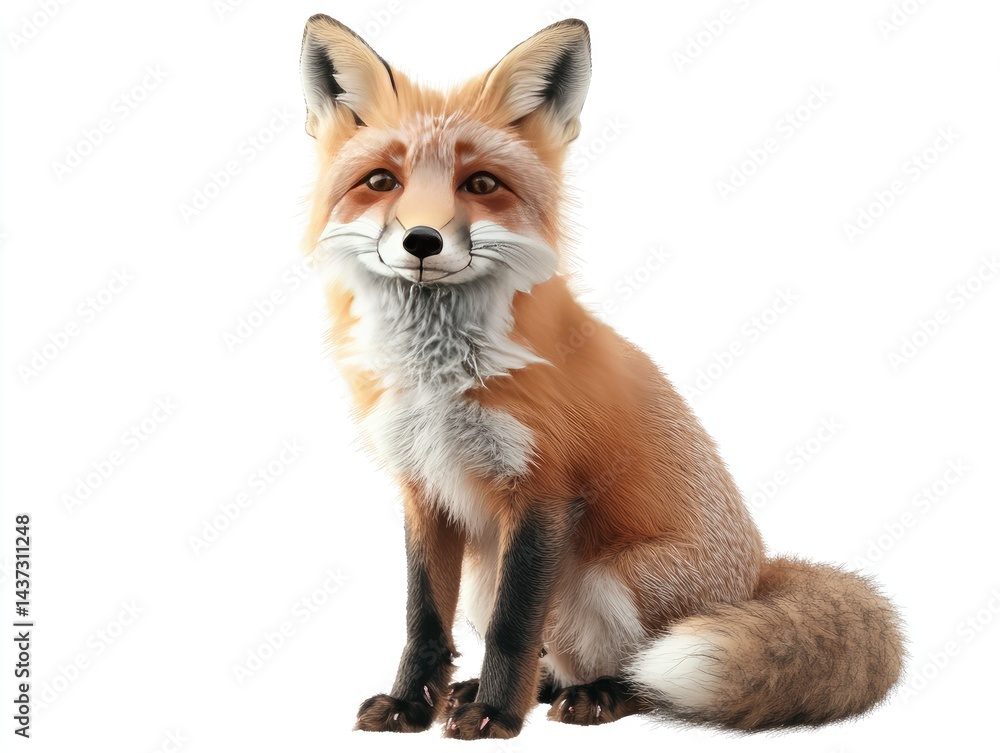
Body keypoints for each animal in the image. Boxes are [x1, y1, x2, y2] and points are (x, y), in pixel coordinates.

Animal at [298, 15, 905, 740]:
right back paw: (532, 688)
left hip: (615, 579)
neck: (441, 379)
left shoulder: (543, 489)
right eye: (381, 180)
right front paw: (412, 704)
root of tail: (758, 575)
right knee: (557, 655)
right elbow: (423, 620)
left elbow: (513, 626)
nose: (422, 241)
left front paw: (495, 715)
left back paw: (597, 695)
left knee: (643, 673)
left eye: (481, 185)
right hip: (492, 569)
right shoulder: (425, 490)